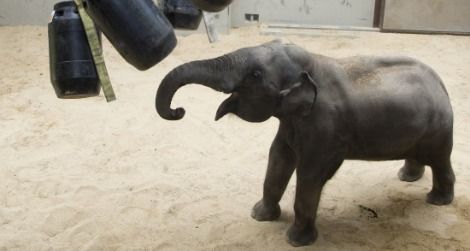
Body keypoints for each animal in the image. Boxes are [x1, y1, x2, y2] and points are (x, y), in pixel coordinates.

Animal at [156, 40, 454, 246]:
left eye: (255, 74)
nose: (178, 111)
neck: (314, 64)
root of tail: (441, 83)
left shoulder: (325, 129)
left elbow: (309, 175)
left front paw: (296, 240)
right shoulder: (291, 123)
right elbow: (277, 159)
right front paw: (260, 216)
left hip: (439, 131)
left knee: (441, 162)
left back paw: (438, 200)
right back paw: (407, 177)